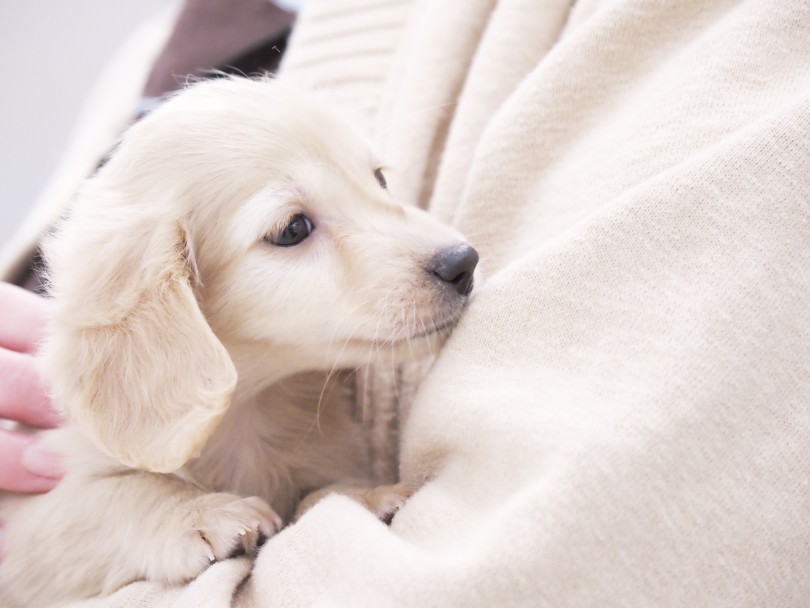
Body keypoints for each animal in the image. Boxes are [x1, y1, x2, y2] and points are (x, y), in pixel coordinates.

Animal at [0, 78, 476, 604]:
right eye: (292, 229)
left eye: (379, 180)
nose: (463, 262)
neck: (247, 413)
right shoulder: (27, 517)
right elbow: (107, 495)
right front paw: (199, 514)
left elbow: (318, 491)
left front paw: (360, 495)